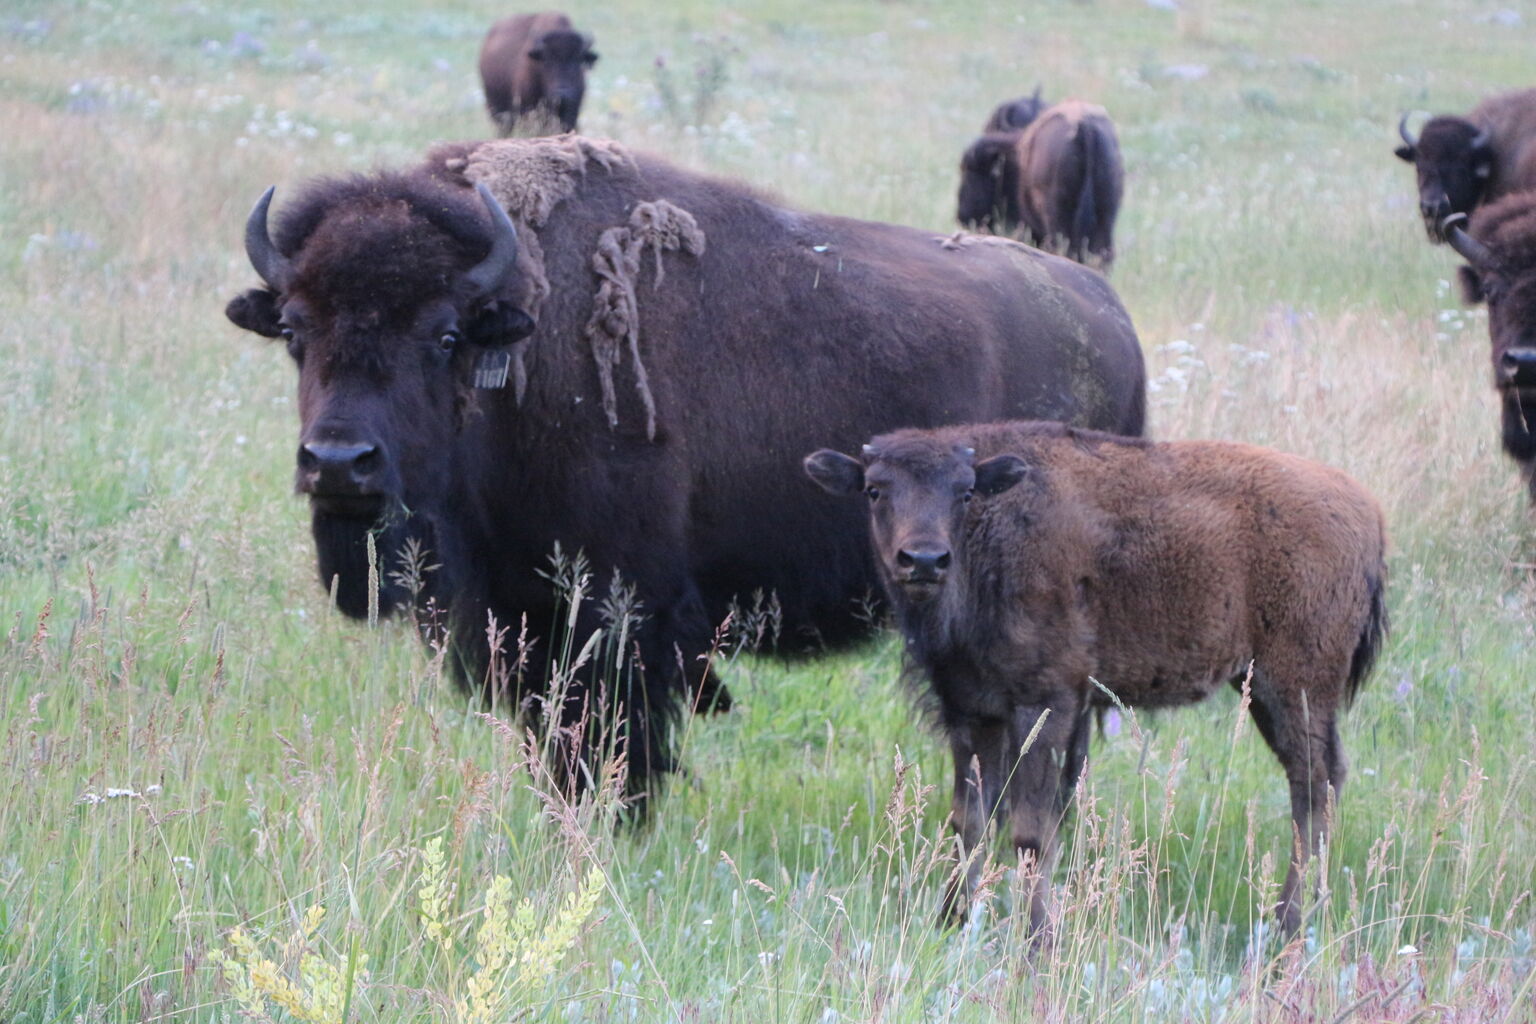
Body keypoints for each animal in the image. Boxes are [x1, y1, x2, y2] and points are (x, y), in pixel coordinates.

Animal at [222, 134, 1148, 810]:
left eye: (444, 334)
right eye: (297, 331)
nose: (339, 463)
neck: (520, 348)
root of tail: (1111, 319)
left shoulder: (620, 615)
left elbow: (614, 746)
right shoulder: (522, 621)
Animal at [804, 423, 1394, 939]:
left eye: (964, 492)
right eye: (875, 489)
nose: (924, 560)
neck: (992, 535)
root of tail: (1366, 509)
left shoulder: (1047, 704)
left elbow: (1031, 831)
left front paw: (1037, 940)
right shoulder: (972, 712)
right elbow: (969, 821)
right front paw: (949, 923)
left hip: (1290, 686)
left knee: (1313, 785)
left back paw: (1287, 925)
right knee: (1318, 783)